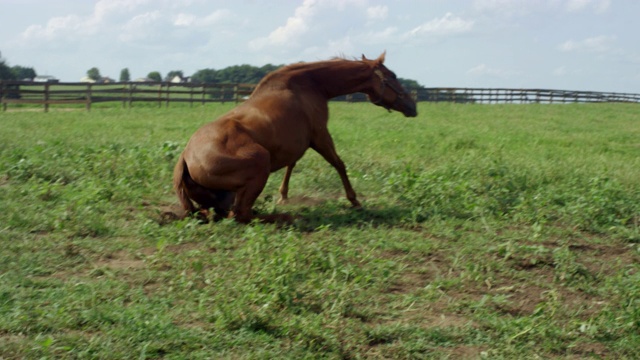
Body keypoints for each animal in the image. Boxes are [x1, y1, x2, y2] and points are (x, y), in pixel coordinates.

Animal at [172, 52, 418, 224]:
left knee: (221, 213)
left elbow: (292, 164)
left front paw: (283, 196)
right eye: (392, 76)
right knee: (241, 215)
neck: (310, 84)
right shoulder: (319, 135)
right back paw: (288, 217)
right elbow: (338, 164)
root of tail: (185, 159)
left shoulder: (298, 141)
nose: (413, 106)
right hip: (261, 161)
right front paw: (354, 200)